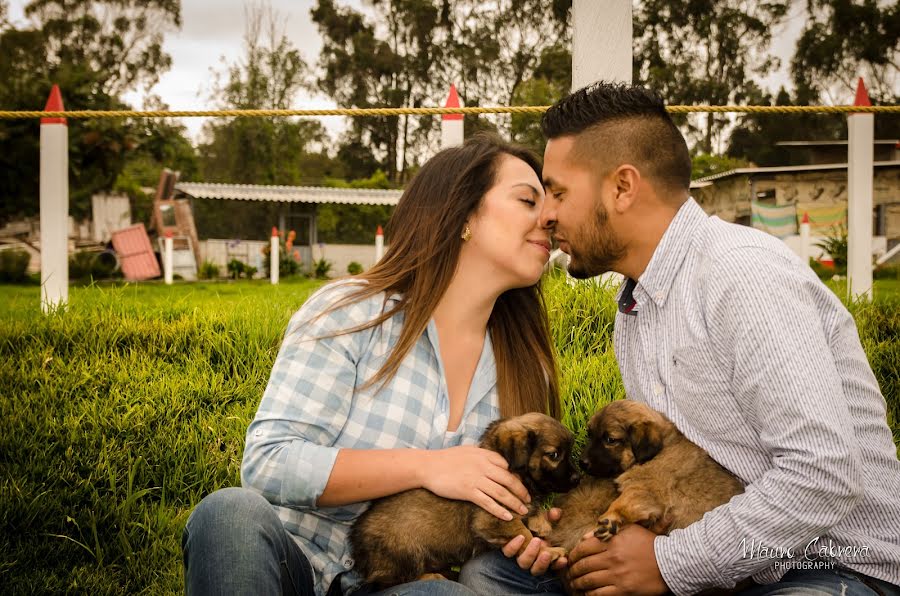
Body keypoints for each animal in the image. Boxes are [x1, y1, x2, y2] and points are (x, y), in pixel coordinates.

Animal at [348, 412, 580, 588]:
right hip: (404, 550)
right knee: (387, 582)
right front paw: (548, 551)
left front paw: (542, 523)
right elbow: (526, 537)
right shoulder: (494, 519)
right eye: (554, 454)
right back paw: (431, 576)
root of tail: (356, 546)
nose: (578, 478)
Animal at [576, 400, 744, 540]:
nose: (581, 463)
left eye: (610, 440)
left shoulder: (645, 489)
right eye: (589, 434)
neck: (657, 453)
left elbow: (621, 503)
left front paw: (610, 519)